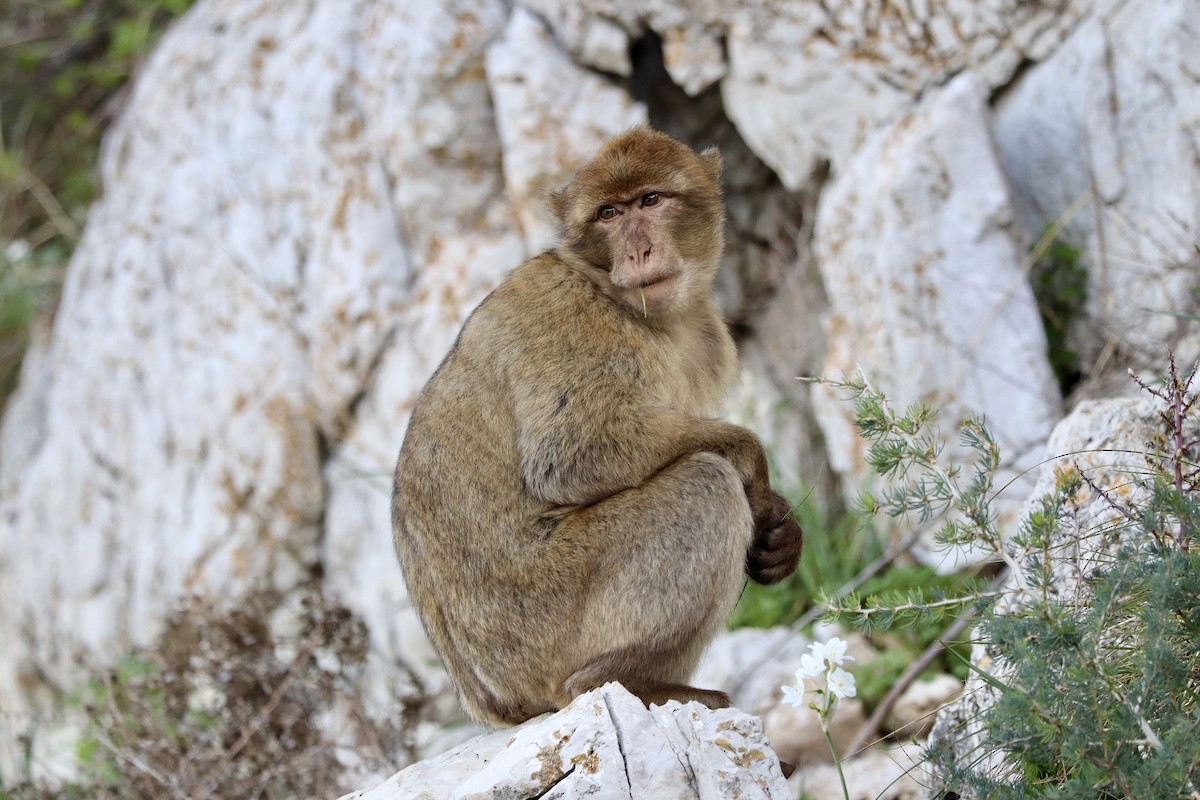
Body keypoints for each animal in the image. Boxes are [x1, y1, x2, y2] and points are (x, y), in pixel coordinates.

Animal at [392, 127, 803, 726]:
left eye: (650, 200)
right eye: (608, 213)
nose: (637, 250)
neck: (613, 294)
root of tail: (495, 703)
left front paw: (782, 535)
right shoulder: (571, 322)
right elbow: (572, 458)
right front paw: (757, 471)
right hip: (544, 620)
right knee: (704, 483)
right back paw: (616, 681)